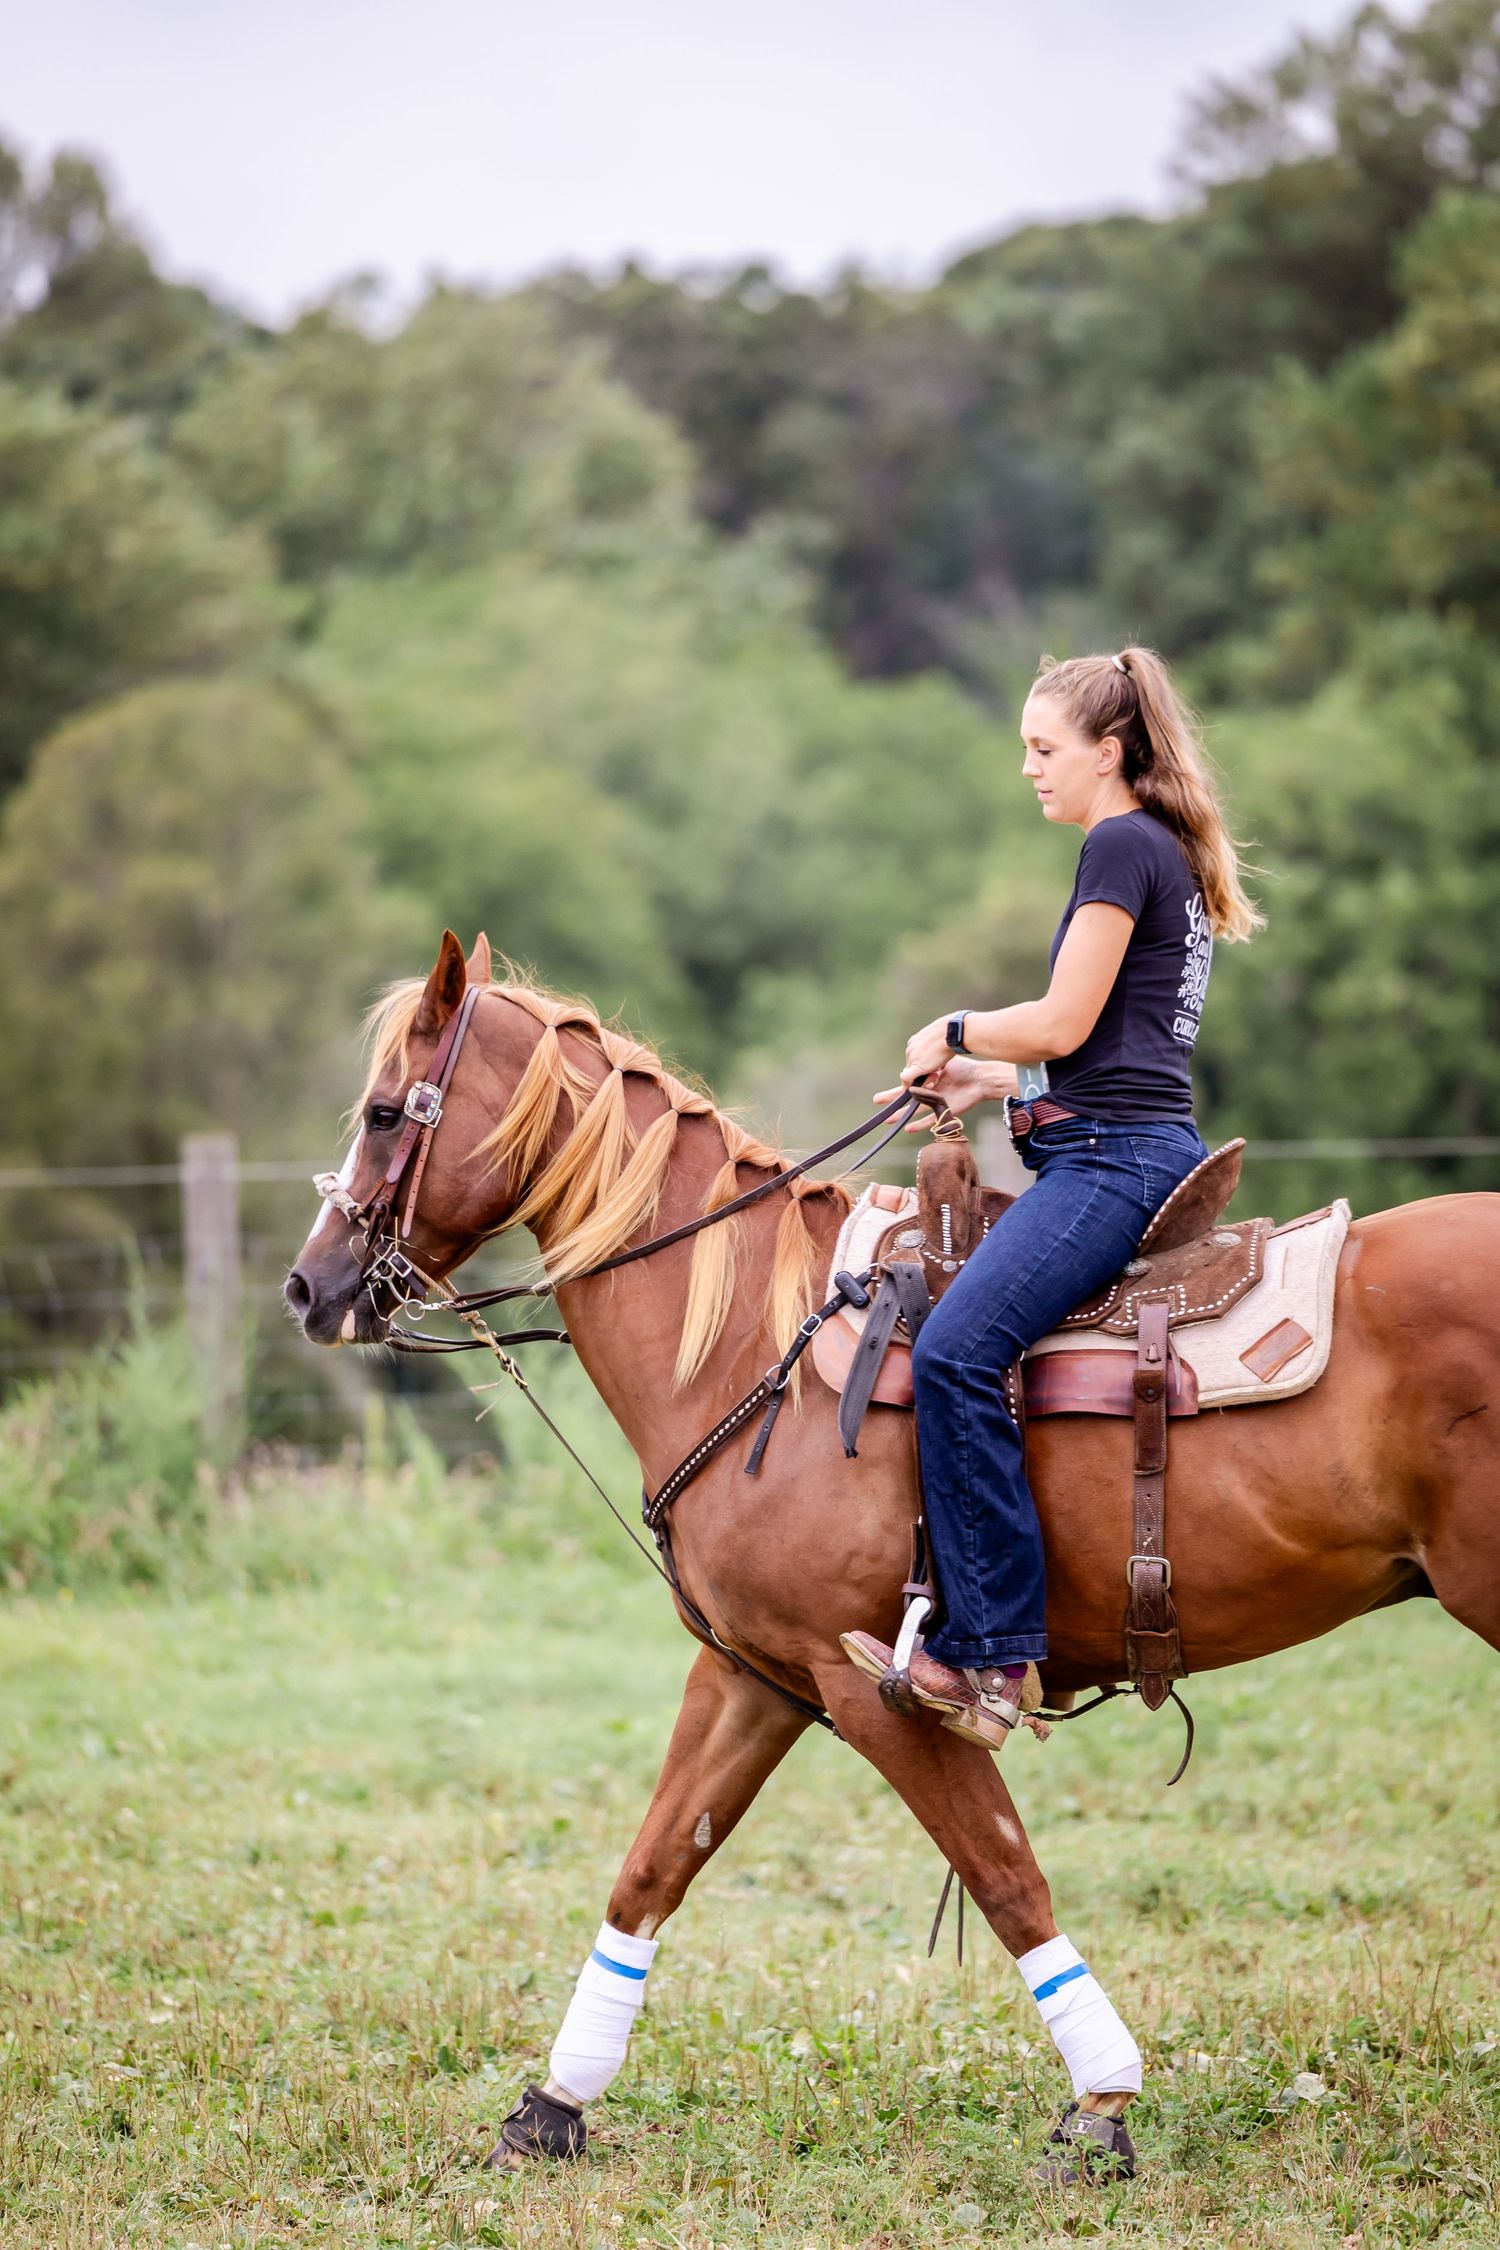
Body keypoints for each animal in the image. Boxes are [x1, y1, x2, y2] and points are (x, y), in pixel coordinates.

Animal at [285, 931, 1500, 2178]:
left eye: (383, 1111)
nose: (308, 1286)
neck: (753, 1346)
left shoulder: (879, 1689)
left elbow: (1007, 1877)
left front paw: (1101, 2107)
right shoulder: (755, 1676)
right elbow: (653, 1868)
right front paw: (552, 2104)